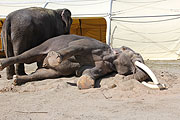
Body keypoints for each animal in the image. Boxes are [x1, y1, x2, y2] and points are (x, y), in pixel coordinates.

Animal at [0, 34, 165, 89]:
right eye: (135, 54)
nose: (162, 85)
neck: (110, 54)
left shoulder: (105, 66)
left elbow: (90, 71)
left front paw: (84, 82)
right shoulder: (90, 44)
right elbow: (76, 46)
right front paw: (55, 58)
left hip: (48, 72)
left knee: (43, 74)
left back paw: (16, 80)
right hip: (45, 44)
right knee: (26, 55)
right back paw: (2, 64)